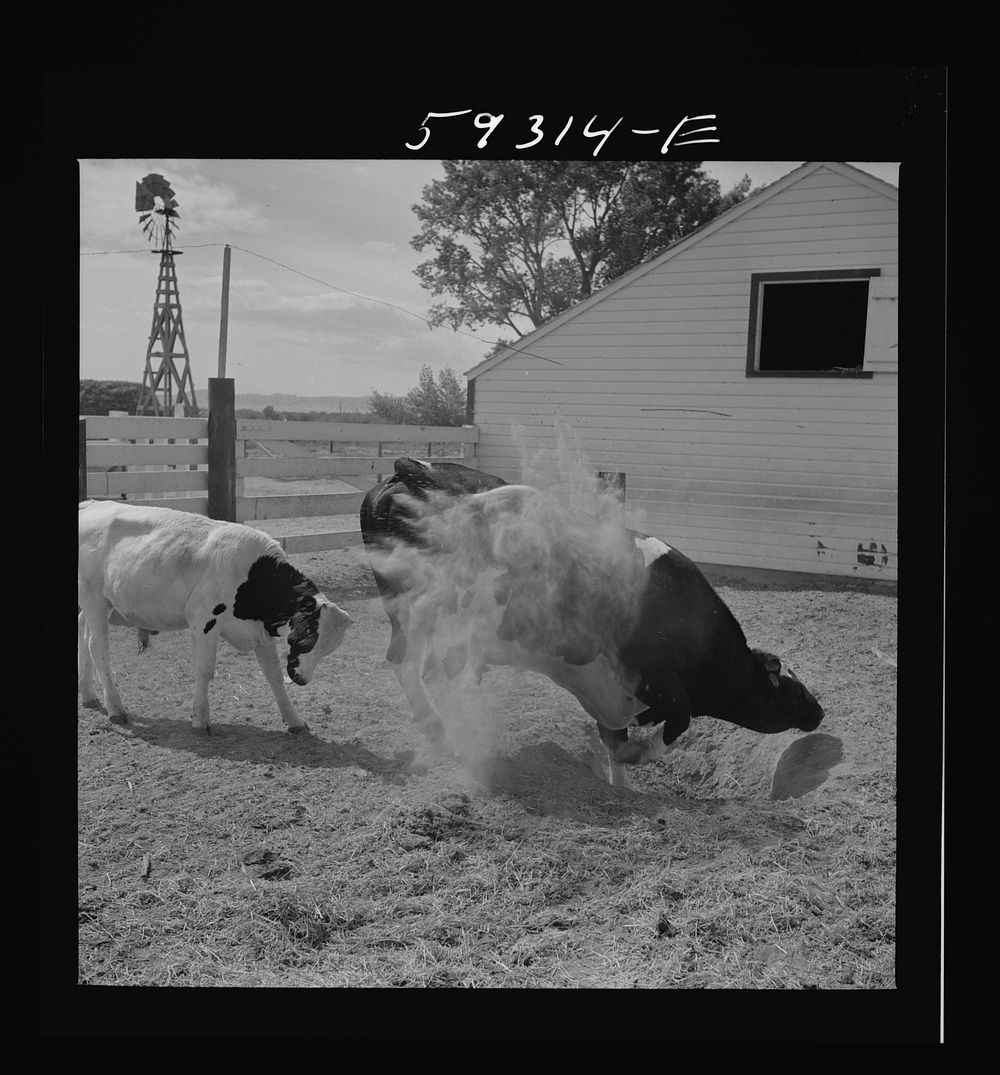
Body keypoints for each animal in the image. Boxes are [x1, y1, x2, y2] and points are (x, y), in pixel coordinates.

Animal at [78, 499, 352, 734]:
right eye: (308, 639)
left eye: (327, 649)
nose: (302, 679)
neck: (253, 576)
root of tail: (89, 504)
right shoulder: (203, 621)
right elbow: (205, 671)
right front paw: (200, 720)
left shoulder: (260, 632)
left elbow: (273, 675)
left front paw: (295, 721)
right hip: (95, 600)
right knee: (97, 647)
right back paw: (115, 708)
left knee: (83, 636)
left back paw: (88, 695)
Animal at [360, 457, 823, 786]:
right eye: (792, 689)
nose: (819, 712)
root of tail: (413, 469)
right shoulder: (656, 675)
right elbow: (680, 719)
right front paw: (641, 755)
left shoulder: (612, 698)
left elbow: (615, 747)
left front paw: (624, 785)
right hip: (461, 621)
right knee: (436, 673)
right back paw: (459, 740)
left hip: (404, 606)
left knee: (404, 660)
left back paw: (438, 729)